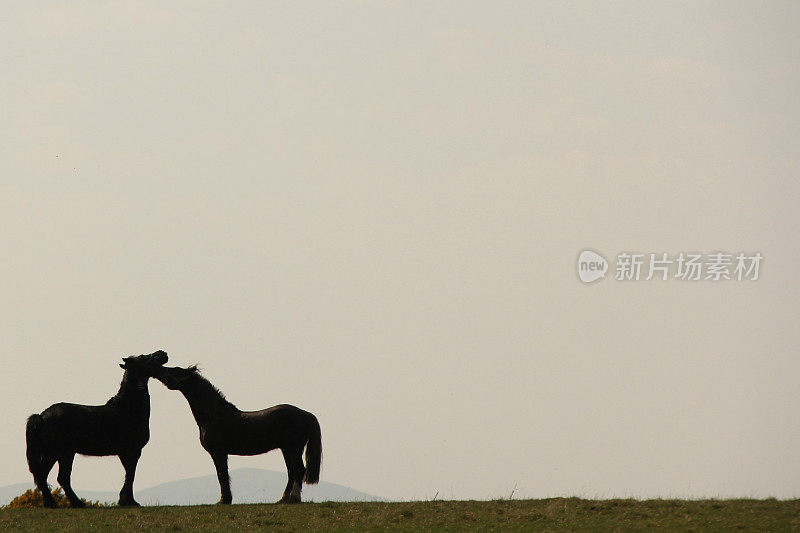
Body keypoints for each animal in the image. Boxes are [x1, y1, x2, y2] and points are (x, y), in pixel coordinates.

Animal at [25, 350, 168, 508]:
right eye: (143, 357)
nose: (163, 353)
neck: (127, 409)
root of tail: (41, 416)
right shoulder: (133, 451)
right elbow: (130, 475)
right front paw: (129, 501)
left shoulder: (125, 453)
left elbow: (128, 474)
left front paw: (124, 500)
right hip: (60, 453)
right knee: (55, 476)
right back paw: (70, 503)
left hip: (56, 453)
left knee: (48, 476)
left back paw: (57, 503)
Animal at [155, 366, 320, 502]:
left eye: (176, 370)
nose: (159, 368)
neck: (215, 415)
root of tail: (306, 414)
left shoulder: (218, 452)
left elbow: (222, 475)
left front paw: (224, 500)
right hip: (286, 449)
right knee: (291, 472)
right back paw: (283, 499)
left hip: (293, 448)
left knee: (299, 470)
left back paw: (294, 498)